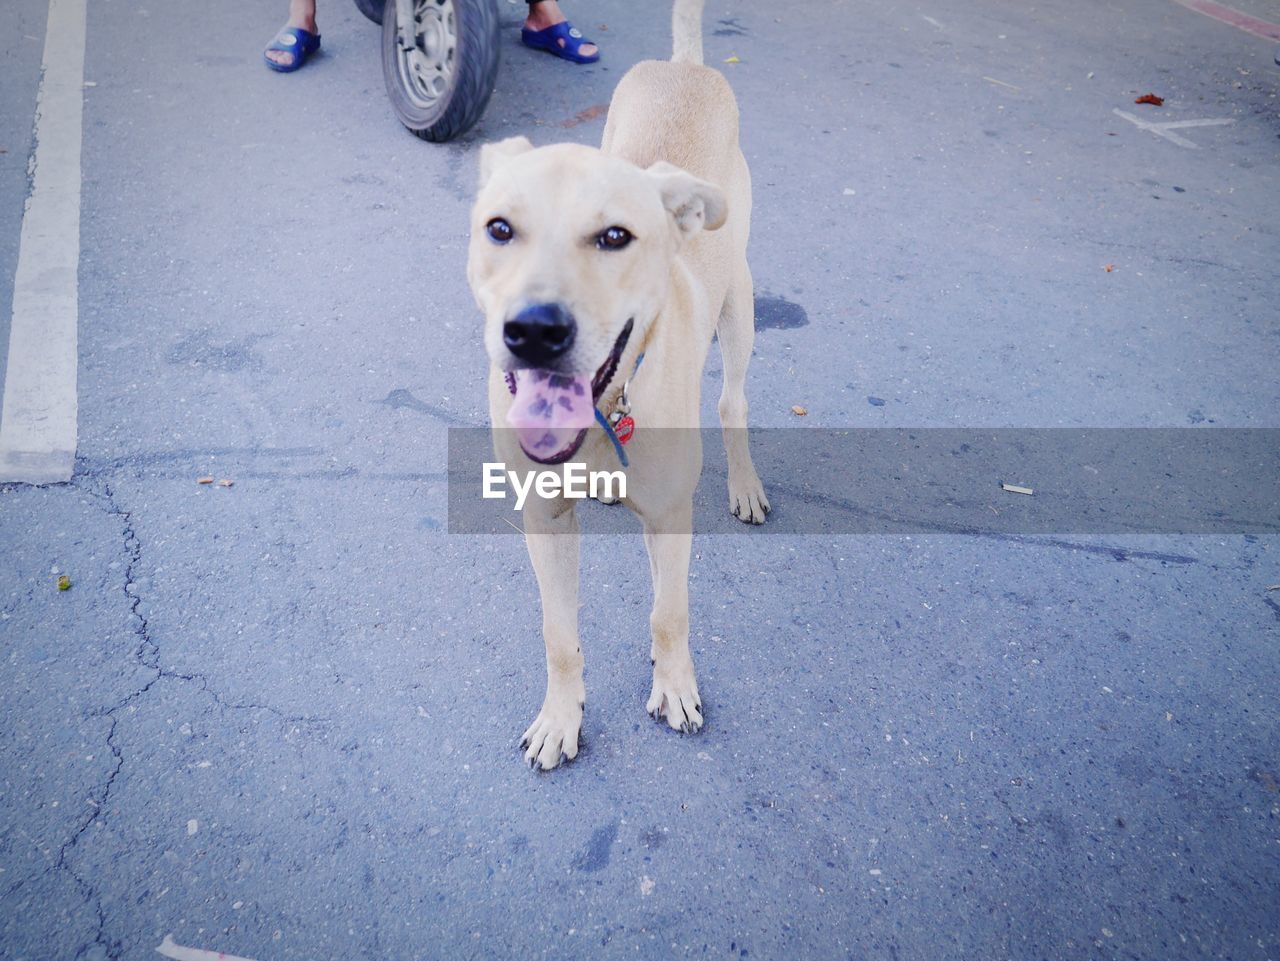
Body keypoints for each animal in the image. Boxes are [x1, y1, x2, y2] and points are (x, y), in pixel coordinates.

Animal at [471, 0, 768, 772]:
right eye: (499, 228)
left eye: (614, 237)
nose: (534, 330)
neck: (608, 409)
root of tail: (684, 67)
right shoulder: (543, 518)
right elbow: (559, 636)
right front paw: (561, 717)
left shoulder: (670, 515)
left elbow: (670, 611)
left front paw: (675, 685)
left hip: (741, 302)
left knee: (733, 400)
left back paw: (745, 483)